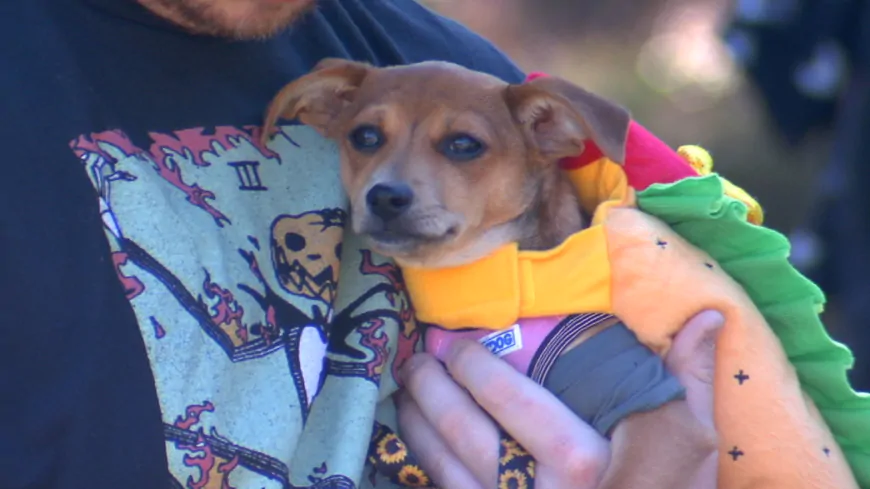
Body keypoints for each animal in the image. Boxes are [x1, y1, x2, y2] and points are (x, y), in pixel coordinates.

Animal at [262, 59, 720, 486]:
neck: (479, 294)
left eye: (464, 144)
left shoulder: (656, 411)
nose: (385, 196)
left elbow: (623, 478)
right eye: (365, 136)